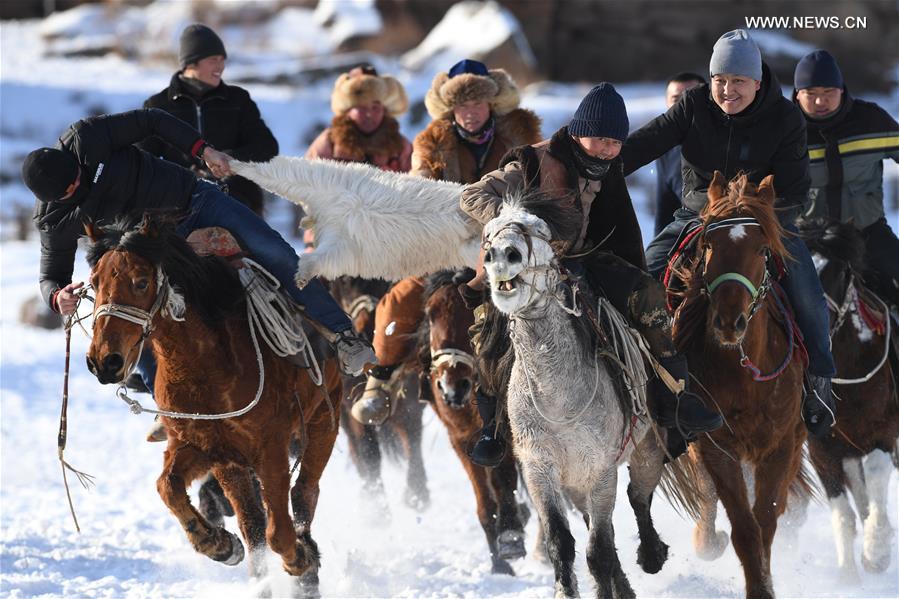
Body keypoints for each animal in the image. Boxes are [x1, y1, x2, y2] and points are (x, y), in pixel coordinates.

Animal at [82, 216, 342, 596]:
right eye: (94, 282)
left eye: (141, 281)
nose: (104, 361)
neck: (208, 365)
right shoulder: (208, 449)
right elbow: (168, 486)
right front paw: (218, 544)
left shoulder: (270, 448)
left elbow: (280, 532)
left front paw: (300, 558)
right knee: (254, 526)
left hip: (324, 420)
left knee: (304, 493)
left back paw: (306, 568)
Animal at [422, 270, 528, 576]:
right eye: (430, 314)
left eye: (468, 315)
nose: (453, 386)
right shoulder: (462, 440)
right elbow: (485, 502)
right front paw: (499, 564)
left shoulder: (505, 433)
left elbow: (504, 479)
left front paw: (511, 537)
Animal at [672, 173, 804, 599]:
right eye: (709, 245)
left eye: (762, 249)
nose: (729, 322)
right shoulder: (715, 446)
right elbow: (744, 527)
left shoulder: (780, 445)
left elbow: (765, 522)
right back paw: (707, 539)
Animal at [800, 220, 896, 580]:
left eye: (839, 271)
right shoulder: (822, 448)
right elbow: (843, 511)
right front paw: (848, 575)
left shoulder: (885, 432)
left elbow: (878, 470)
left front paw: (877, 551)